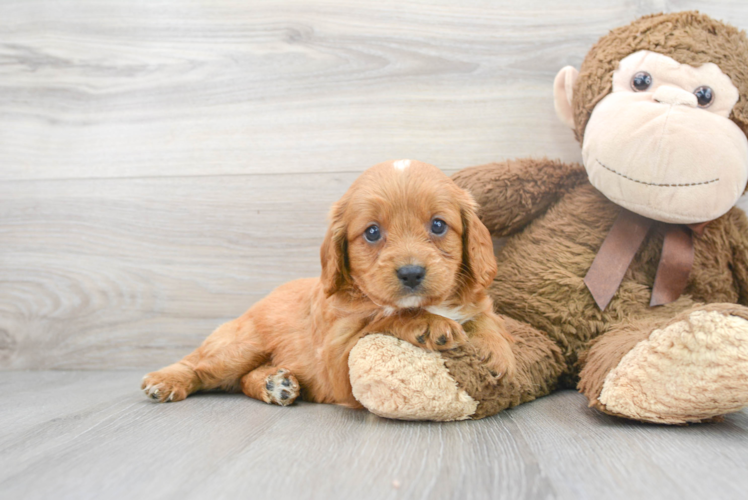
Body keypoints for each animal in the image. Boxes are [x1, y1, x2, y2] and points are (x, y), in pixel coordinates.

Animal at [140, 159, 516, 406]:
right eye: (372, 232)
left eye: (438, 225)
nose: (411, 273)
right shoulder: (339, 359)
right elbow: (386, 319)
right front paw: (427, 323)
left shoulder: (475, 302)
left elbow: (486, 318)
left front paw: (496, 352)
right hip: (240, 346)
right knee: (201, 365)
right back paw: (165, 380)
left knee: (243, 378)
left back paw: (275, 384)